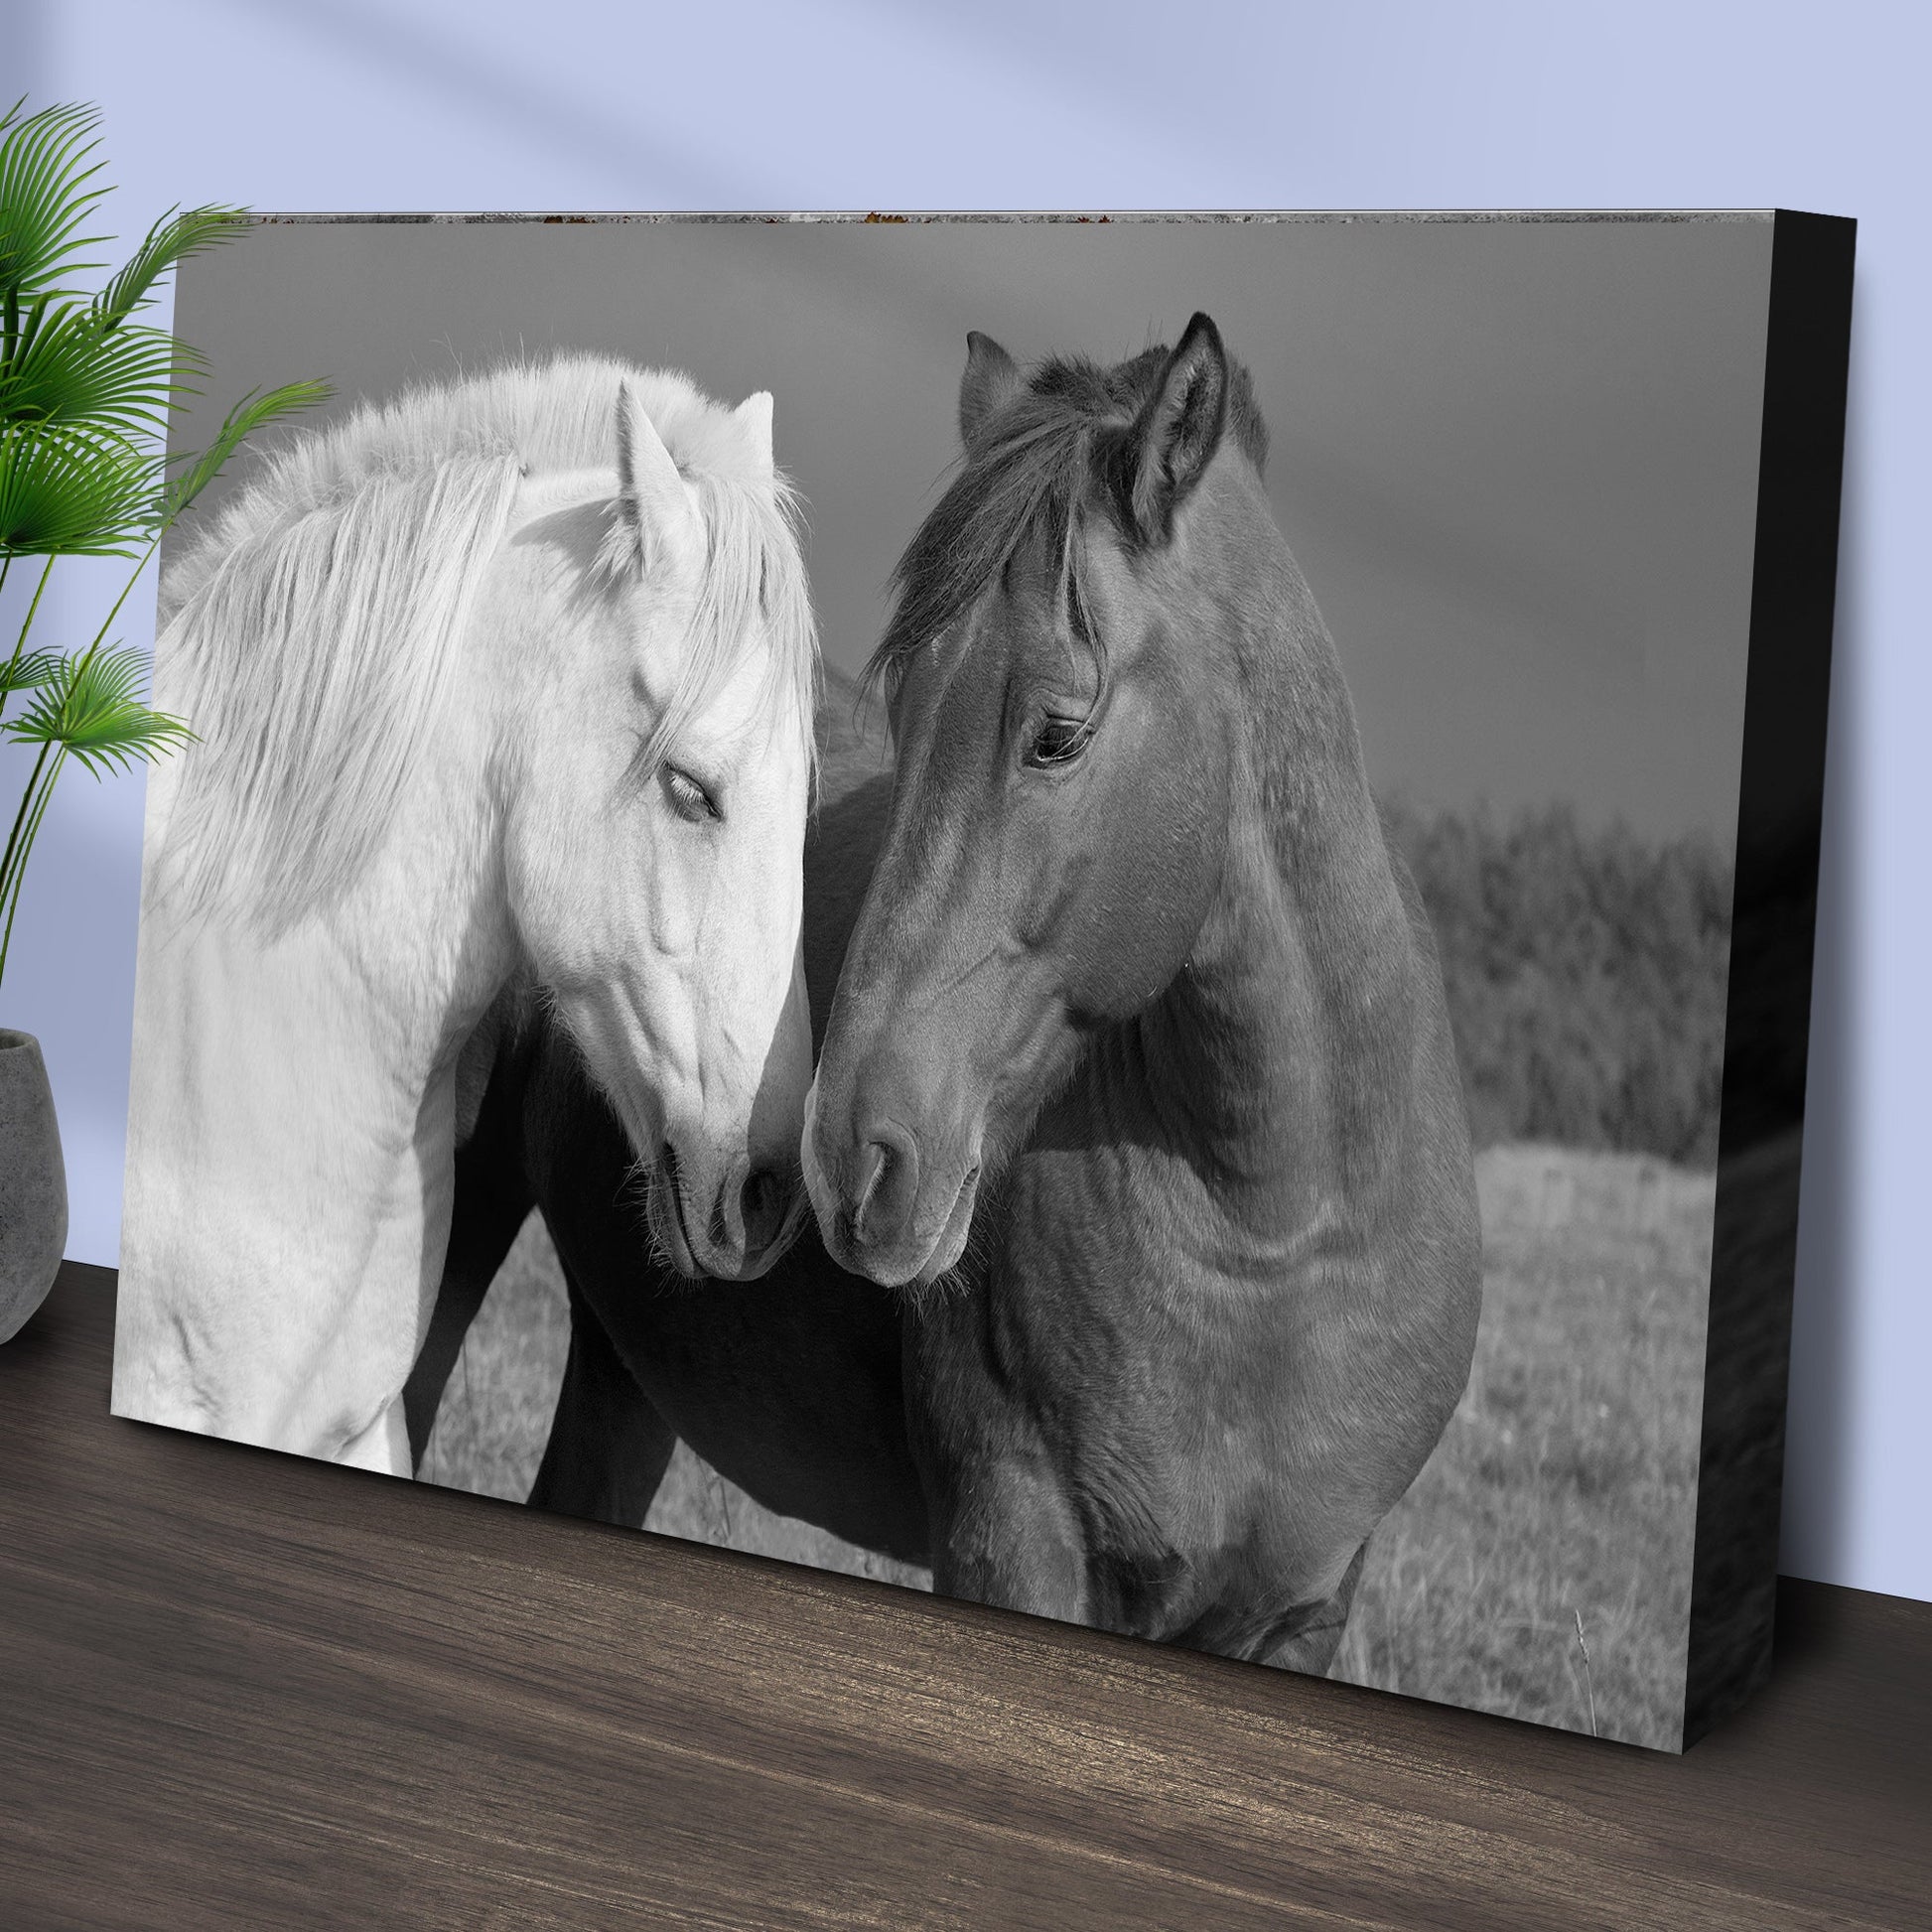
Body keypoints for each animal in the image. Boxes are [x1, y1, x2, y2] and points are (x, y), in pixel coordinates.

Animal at [802, 316, 1483, 1673]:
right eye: (901, 708)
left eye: (1058, 732)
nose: (850, 1153)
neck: (1277, 1237)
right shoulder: (1013, 1540)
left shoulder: (1302, 1609)